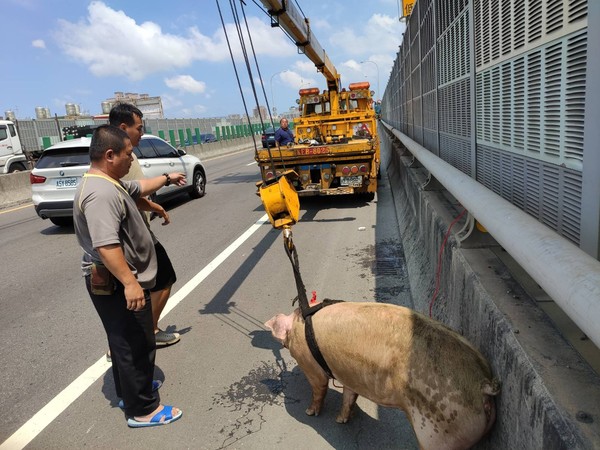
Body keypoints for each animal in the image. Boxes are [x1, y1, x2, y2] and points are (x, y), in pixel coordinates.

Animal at [264, 300, 500, 450]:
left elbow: (319, 388)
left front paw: (309, 412)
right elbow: (348, 397)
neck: (299, 325)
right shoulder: (349, 377)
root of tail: (483, 383)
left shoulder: (309, 365)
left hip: (440, 433)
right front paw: (341, 420)